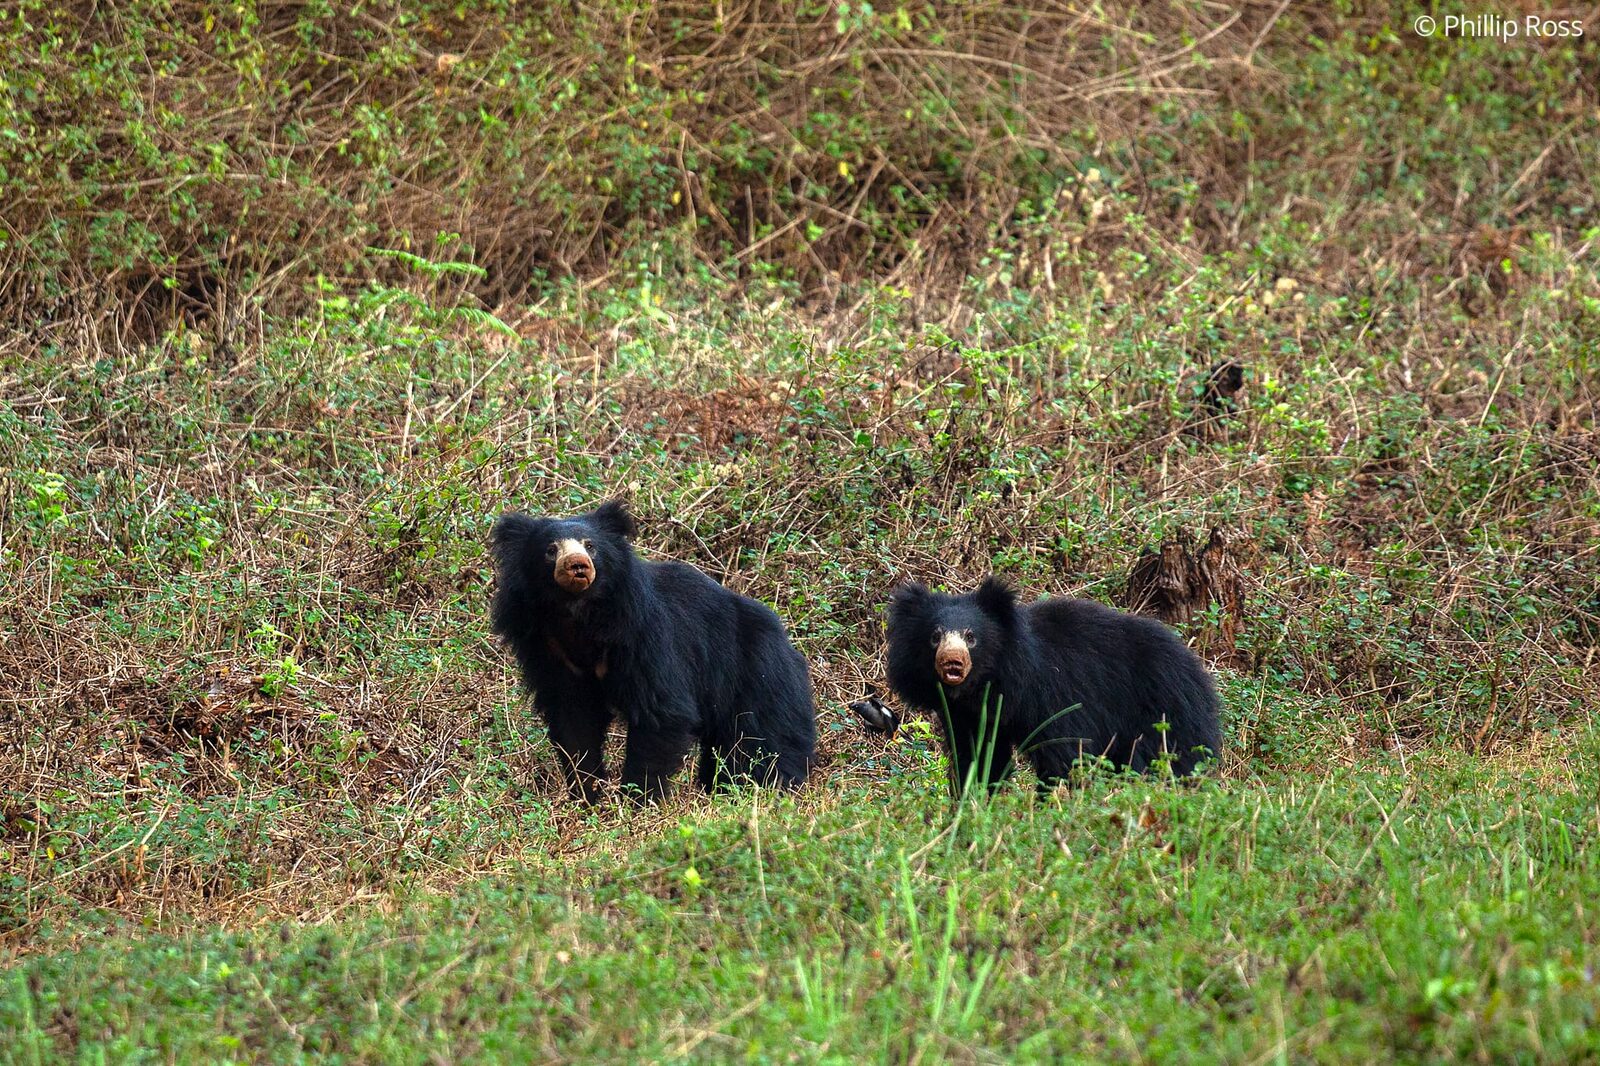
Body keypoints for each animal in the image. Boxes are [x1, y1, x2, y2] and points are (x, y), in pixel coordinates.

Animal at [490, 499, 817, 803]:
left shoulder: (644, 636)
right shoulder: (549, 649)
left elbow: (660, 711)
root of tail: (786, 640)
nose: (577, 565)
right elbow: (574, 718)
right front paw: (587, 797)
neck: (579, 613)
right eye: (550, 550)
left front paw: (638, 800)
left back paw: (768, 789)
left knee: (762, 741)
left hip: (757, 676)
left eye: (590, 546)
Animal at [885, 577, 1222, 792]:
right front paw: (975, 798)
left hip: (1163, 712)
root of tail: (1199, 669)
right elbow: (979, 754)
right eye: (935, 637)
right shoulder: (966, 714)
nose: (952, 662)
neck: (990, 683)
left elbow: (1064, 753)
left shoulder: (1057, 695)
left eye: (971, 637)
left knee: (1170, 758)